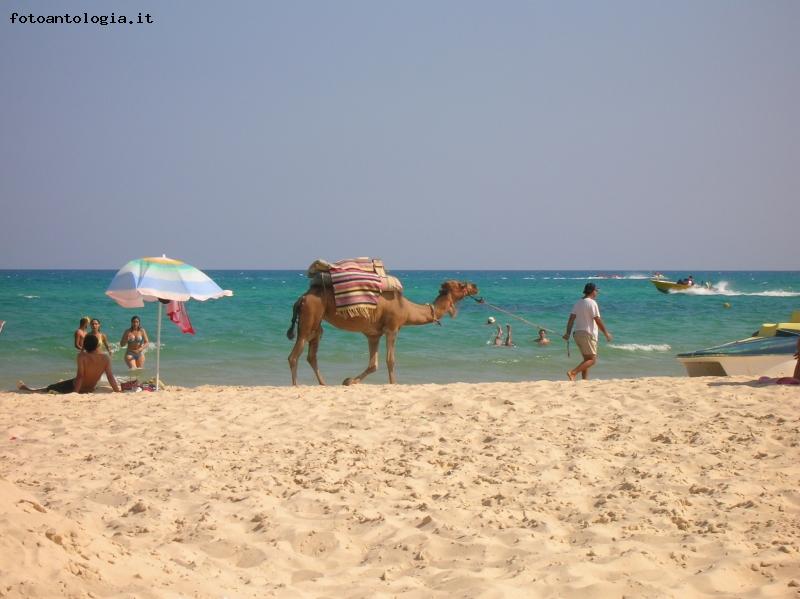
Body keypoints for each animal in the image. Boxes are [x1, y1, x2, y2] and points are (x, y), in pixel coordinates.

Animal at [286, 280, 476, 386]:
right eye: (461, 285)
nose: (475, 287)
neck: (406, 308)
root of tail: (302, 298)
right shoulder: (392, 328)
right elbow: (390, 360)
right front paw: (394, 384)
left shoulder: (373, 334)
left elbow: (373, 364)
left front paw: (349, 381)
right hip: (310, 316)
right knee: (294, 355)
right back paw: (296, 386)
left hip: (316, 324)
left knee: (311, 355)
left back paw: (323, 384)